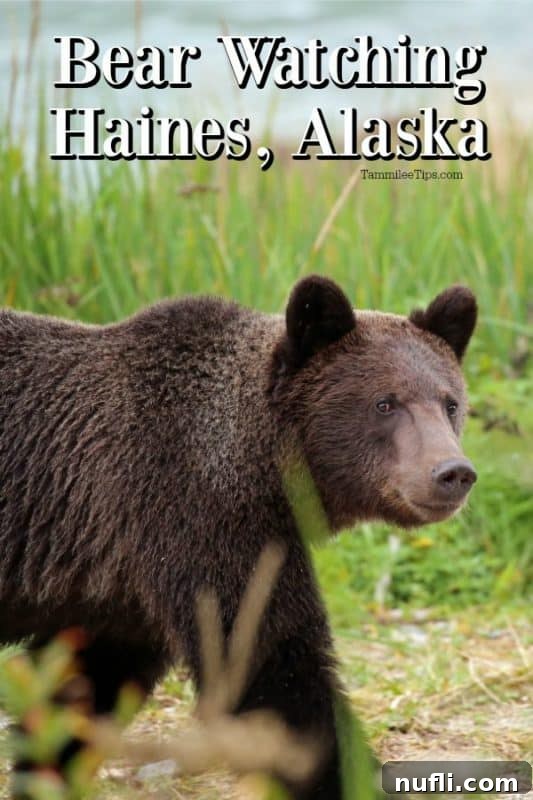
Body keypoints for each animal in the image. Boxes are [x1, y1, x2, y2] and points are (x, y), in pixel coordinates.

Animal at [0, 275, 477, 799]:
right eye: (385, 403)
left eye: (450, 403)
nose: (452, 472)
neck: (263, 468)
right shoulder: (194, 516)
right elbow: (270, 668)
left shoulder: (119, 588)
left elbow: (80, 685)